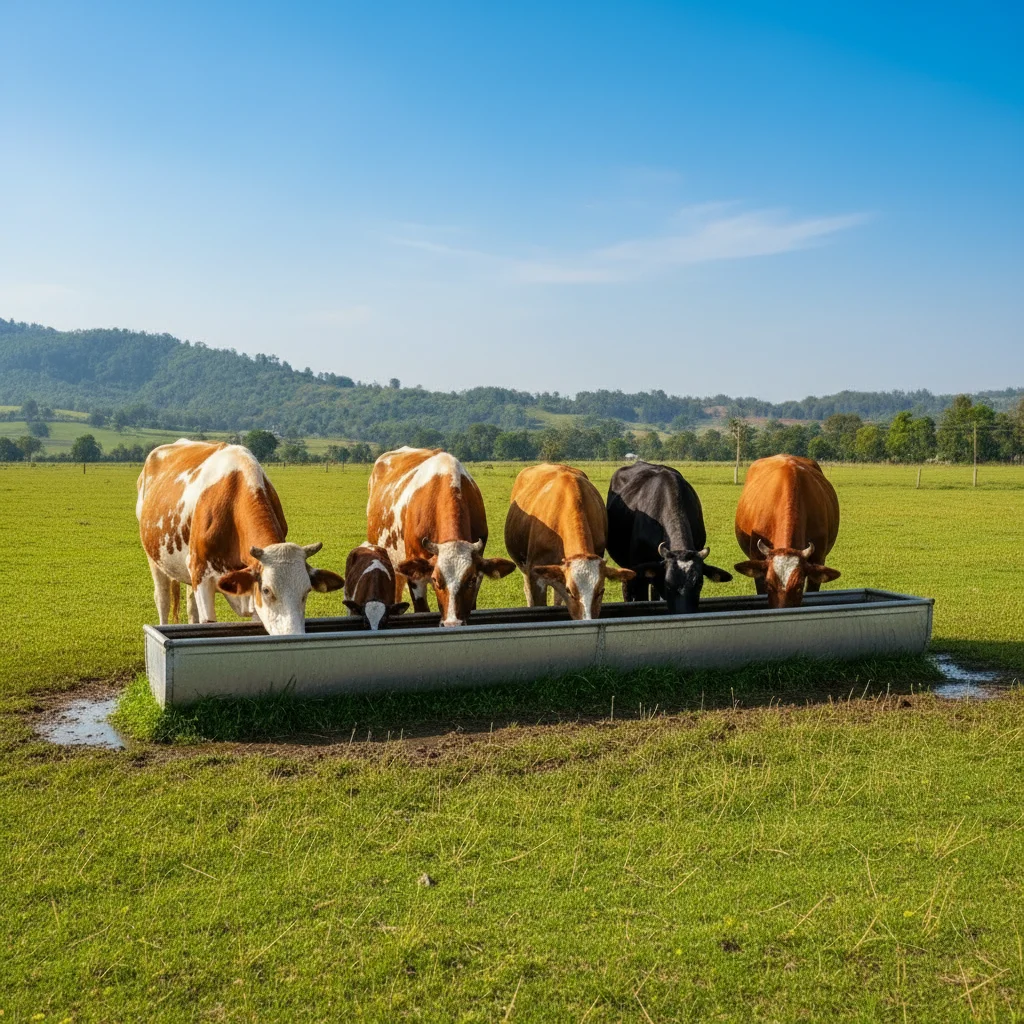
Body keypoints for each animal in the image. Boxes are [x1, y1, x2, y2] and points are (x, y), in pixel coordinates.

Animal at [136, 439, 344, 634]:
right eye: (267, 590)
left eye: (307, 590)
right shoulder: (201, 573)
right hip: (155, 559)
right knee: (162, 599)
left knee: (190, 606)